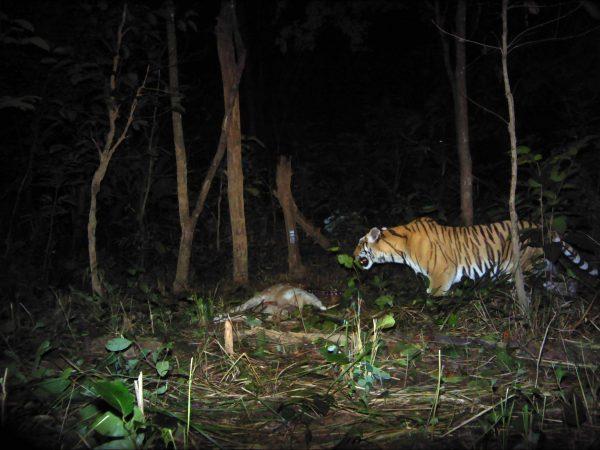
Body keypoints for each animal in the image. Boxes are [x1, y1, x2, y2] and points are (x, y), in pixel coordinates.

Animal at [354, 217, 596, 298]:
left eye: (359, 244)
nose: (353, 255)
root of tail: (544, 227)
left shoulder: (443, 273)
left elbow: (434, 296)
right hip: (544, 264)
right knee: (564, 280)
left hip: (526, 266)